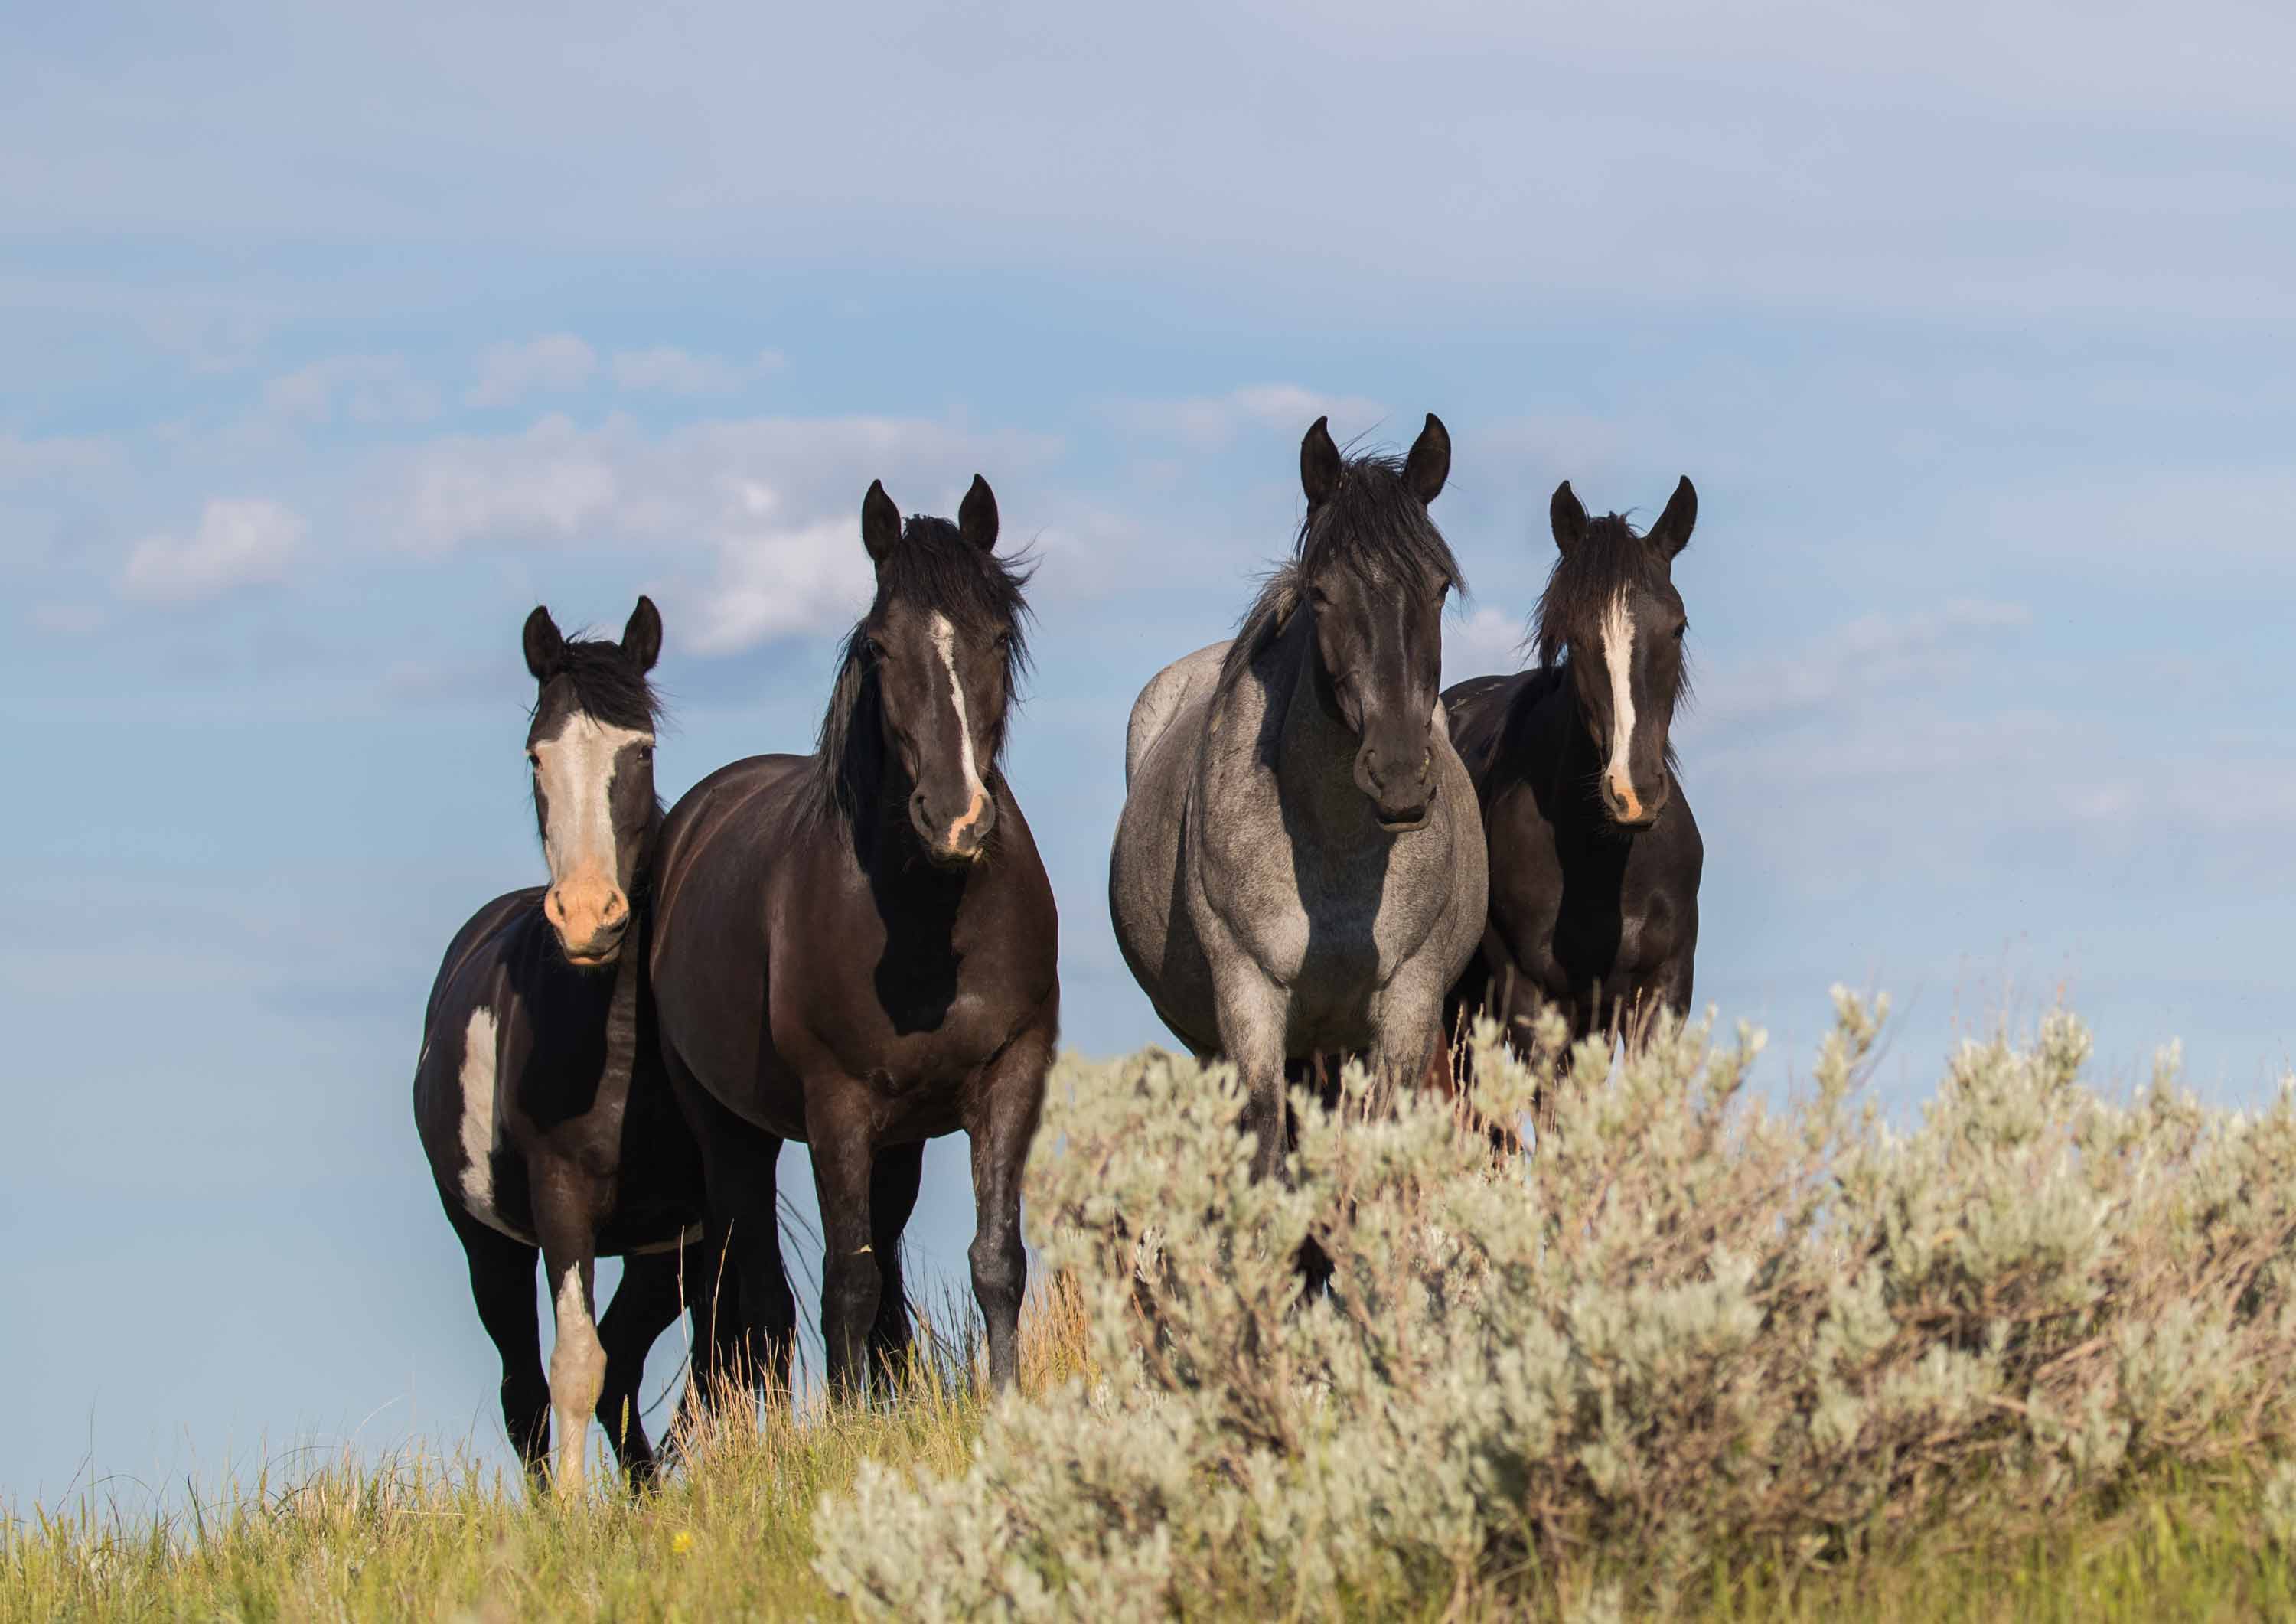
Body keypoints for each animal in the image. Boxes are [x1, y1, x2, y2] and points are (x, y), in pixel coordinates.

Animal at [413, 597, 712, 1497]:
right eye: (536, 754)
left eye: (640, 749)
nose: (587, 918)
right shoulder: (561, 1206)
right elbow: (576, 1367)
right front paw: (576, 1513)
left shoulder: (689, 1228)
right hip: (488, 1248)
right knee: (525, 1393)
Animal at [647, 471, 1056, 1396]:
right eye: (878, 646)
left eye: (997, 635)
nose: (956, 818)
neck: (932, 931)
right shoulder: (836, 1106)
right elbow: (848, 1281)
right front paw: (848, 1418)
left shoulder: (1011, 1074)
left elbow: (996, 1259)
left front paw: (1005, 1400)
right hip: (730, 1131)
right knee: (764, 1291)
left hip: (897, 1142)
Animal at [1111, 416, 1488, 1185]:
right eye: (1320, 592)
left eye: (1438, 588)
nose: (1399, 775)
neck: (1335, 849)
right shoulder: (1249, 1001)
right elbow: (1266, 1161)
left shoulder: (1407, 1008)